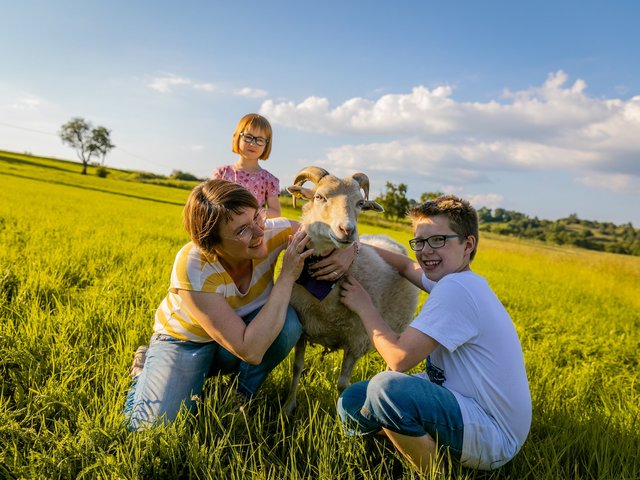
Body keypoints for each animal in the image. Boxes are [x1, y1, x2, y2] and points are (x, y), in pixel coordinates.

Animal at [282, 167, 418, 414]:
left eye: (360, 203)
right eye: (319, 197)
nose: (347, 230)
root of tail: (386, 237)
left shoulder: (357, 340)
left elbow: (343, 385)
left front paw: (341, 419)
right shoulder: (302, 329)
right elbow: (297, 367)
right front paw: (288, 407)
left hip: (398, 330)